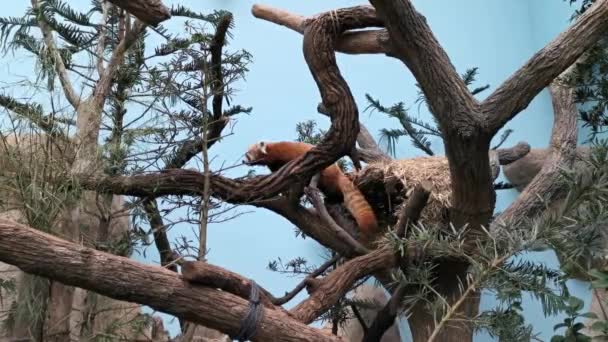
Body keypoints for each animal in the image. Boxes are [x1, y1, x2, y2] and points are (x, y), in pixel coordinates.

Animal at [243, 141, 378, 243]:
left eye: (248, 154)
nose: (244, 161)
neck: (272, 150)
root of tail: (338, 171)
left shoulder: (285, 155)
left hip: (326, 176)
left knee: (333, 191)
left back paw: (331, 198)